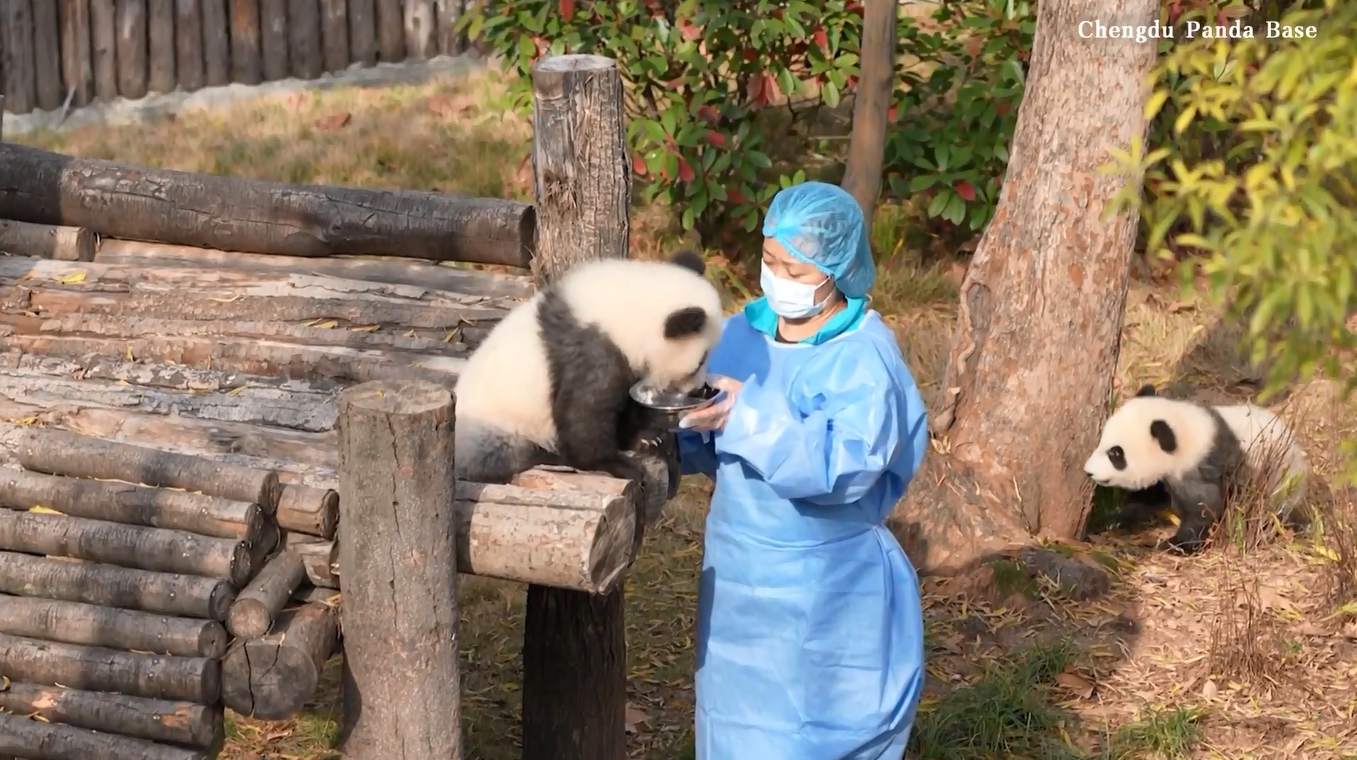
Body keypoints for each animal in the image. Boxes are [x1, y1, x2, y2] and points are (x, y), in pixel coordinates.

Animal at [453, 250, 723, 488]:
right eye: (699, 363)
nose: (698, 390)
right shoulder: (591, 351)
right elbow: (584, 413)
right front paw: (618, 463)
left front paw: (644, 439)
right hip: (492, 426)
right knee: (501, 452)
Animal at [1083, 383, 1312, 554]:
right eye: (1102, 441)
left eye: (1115, 454)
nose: (1089, 471)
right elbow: (1148, 497)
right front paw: (1116, 521)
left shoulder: (1202, 466)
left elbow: (1205, 509)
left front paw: (1175, 544)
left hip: (1279, 483)